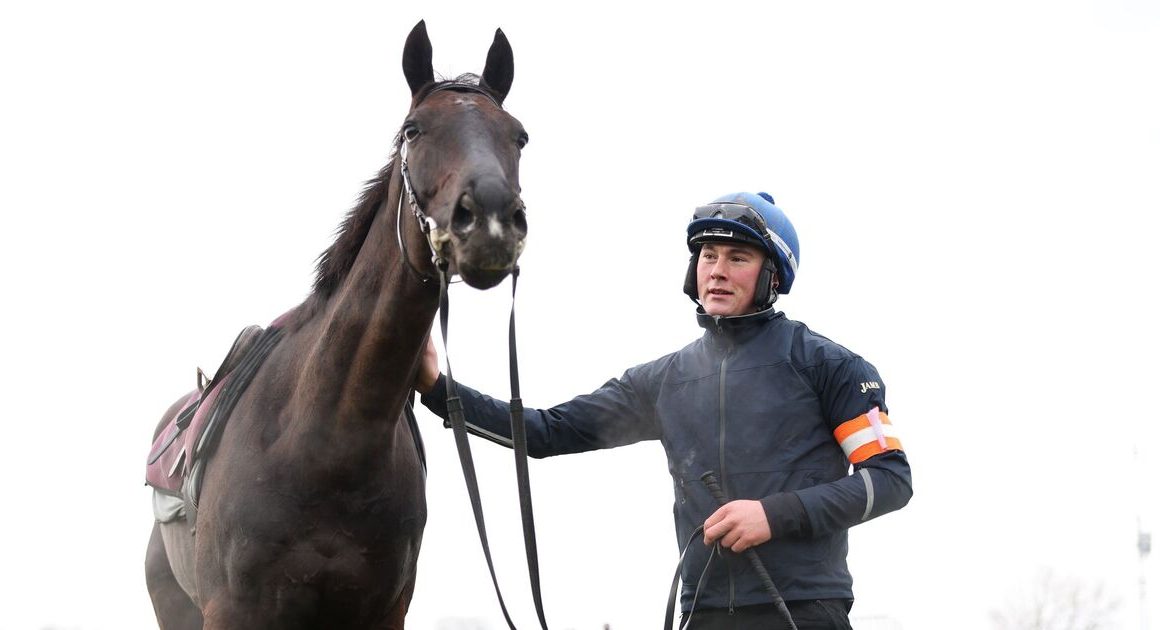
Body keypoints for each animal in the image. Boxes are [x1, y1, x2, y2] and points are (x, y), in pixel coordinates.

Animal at [142, 20, 528, 630]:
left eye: (519, 137)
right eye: (413, 130)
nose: (490, 221)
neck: (325, 443)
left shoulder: (384, 611)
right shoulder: (231, 611)